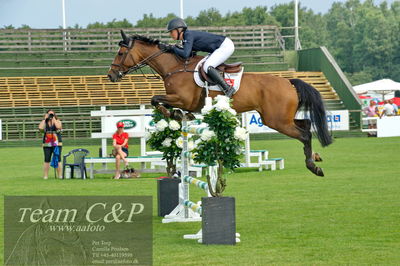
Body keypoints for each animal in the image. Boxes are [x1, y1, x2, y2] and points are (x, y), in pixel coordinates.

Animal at [108, 30, 332, 177]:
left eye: (120, 53)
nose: (111, 75)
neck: (174, 67)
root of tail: (288, 82)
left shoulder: (182, 98)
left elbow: (155, 99)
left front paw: (176, 115)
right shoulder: (179, 100)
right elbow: (159, 102)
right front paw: (179, 115)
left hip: (276, 120)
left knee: (304, 134)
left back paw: (314, 166)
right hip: (281, 118)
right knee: (306, 126)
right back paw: (316, 158)